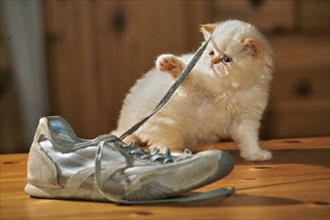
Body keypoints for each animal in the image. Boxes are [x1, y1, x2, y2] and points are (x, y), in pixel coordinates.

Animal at [113, 20, 274, 162]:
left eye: (227, 59)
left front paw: (255, 155)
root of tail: (125, 121)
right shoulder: (195, 90)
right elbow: (187, 76)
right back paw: (180, 154)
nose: (213, 61)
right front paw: (169, 64)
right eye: (211, 53)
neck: (229, 90)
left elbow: (249, 140)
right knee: (162, 147)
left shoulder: (247, 119)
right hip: (165, 127)